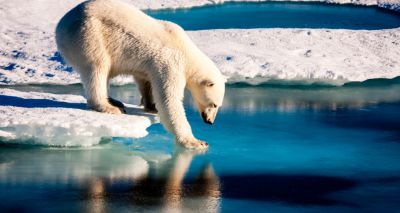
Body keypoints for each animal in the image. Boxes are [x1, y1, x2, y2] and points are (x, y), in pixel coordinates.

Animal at [55, 0, 225, 149]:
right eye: (214, 105)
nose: (210, 121)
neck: (186, 51)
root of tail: (61, 25)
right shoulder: (171, 63)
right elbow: (169, 100)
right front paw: (196, 142)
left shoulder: (150, 65)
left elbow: (145, 81)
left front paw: (151, 106)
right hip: (89, 35)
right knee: (97, 68)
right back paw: (109, 107)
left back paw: (115, 101)